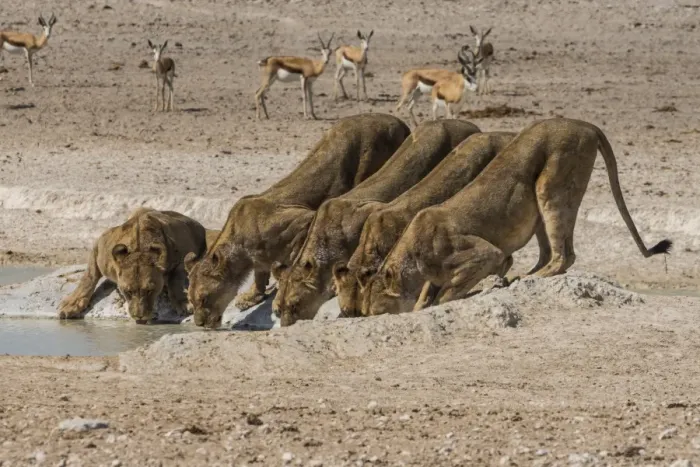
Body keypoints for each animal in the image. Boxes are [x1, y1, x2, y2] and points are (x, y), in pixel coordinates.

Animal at [58, 208, 207, 323]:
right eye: (128, 291)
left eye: (149, 291)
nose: (140, 316)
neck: (139, 247)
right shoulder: (100, 246)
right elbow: (89, 275)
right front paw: (72, 304)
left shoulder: (184, 252)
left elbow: (175, 279)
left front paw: (183, 303)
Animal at [184, 113, 411, 329]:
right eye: (191, 302)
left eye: (204, 299)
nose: (200, 324)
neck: (239, 245)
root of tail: (397, 121)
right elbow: (260, 273)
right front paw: (251, 296)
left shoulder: (302, 220)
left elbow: (293, 259)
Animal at [362, 118, 672, 316]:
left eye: (376, 310)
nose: (365, 315)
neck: (413, 258)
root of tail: (585, 124)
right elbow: (428, 293)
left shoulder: (486, 254)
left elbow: (447, 294)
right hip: (538, 205)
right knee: (551, 254)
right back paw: (526, 275)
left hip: (551, 183)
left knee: (564, 257)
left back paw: (526, 278)